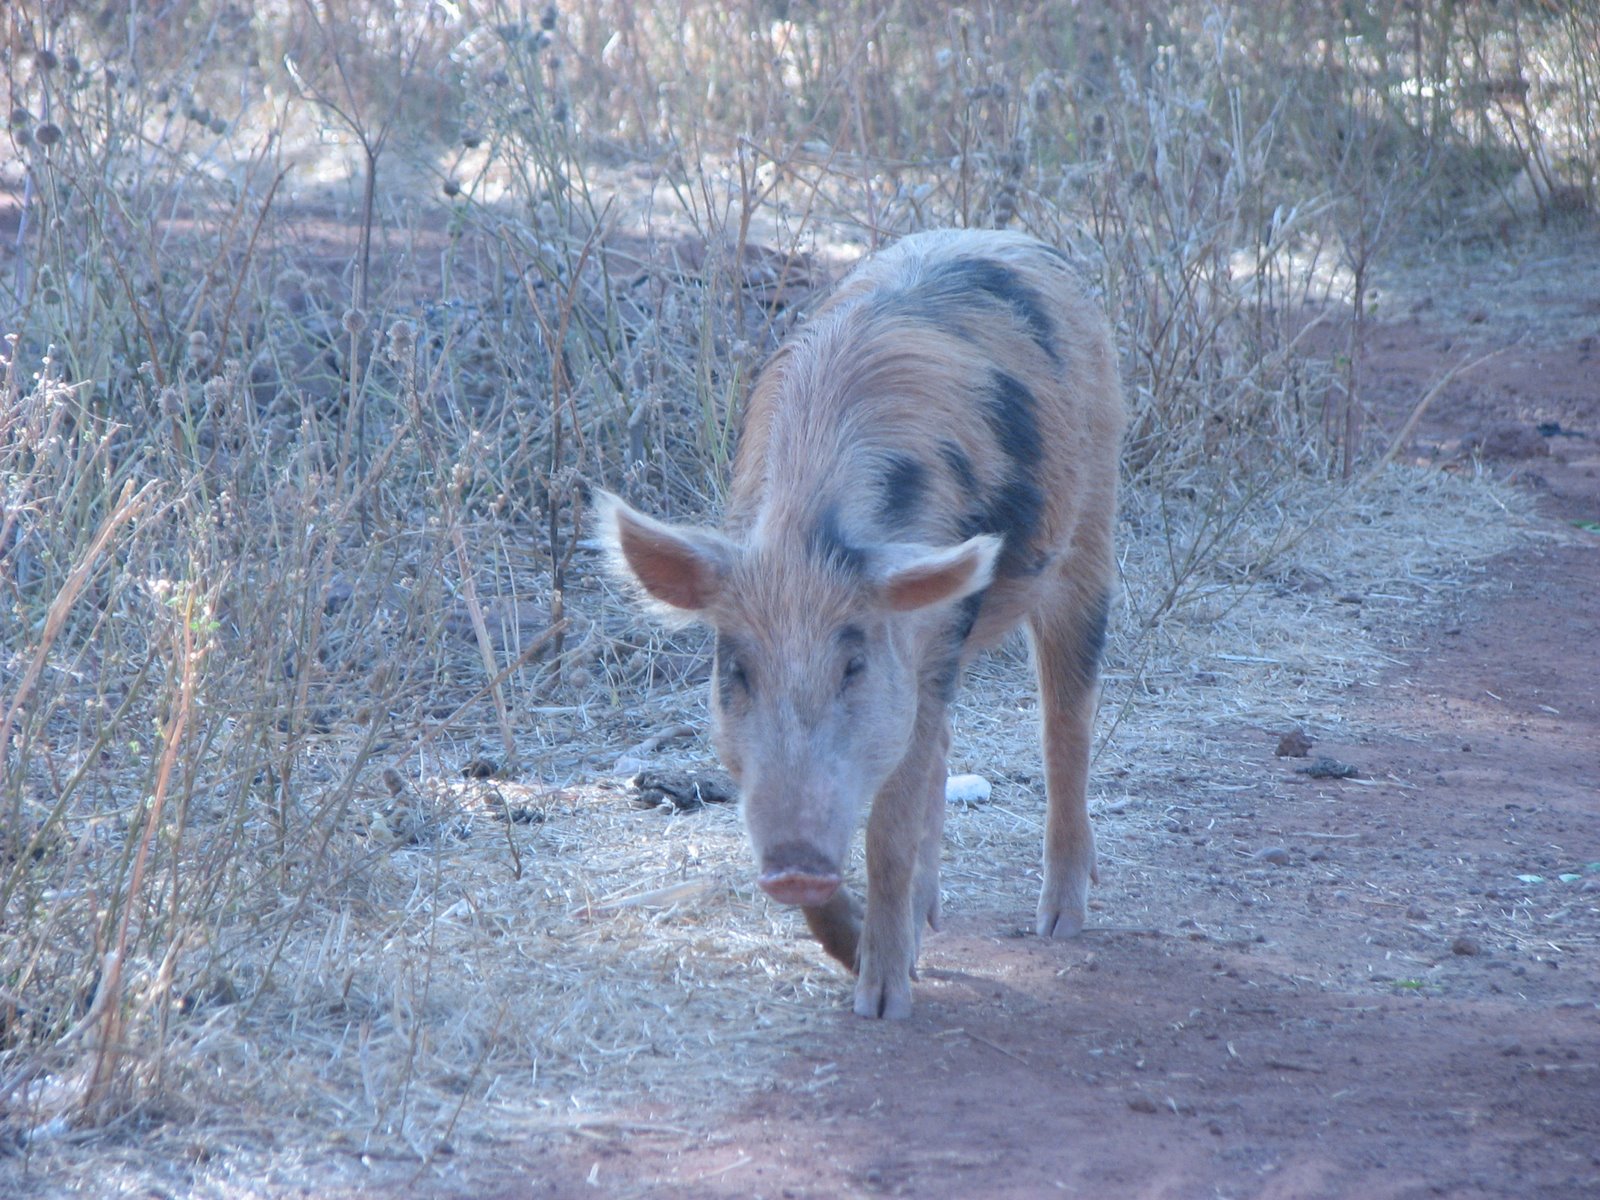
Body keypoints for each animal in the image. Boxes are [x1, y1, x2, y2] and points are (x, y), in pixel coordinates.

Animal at [596, 228, 1124, 1018]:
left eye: (852, 665)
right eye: (736, 670)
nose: (794, 866)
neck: (807, 539)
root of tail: (1012, 238)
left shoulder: (922, 643)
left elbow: (889, 830)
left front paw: (882, 1002)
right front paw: (869, 959)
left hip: (1091, 527)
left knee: (1066, 724)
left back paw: (1057, 923)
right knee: (947, 746)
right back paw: (931, 919)